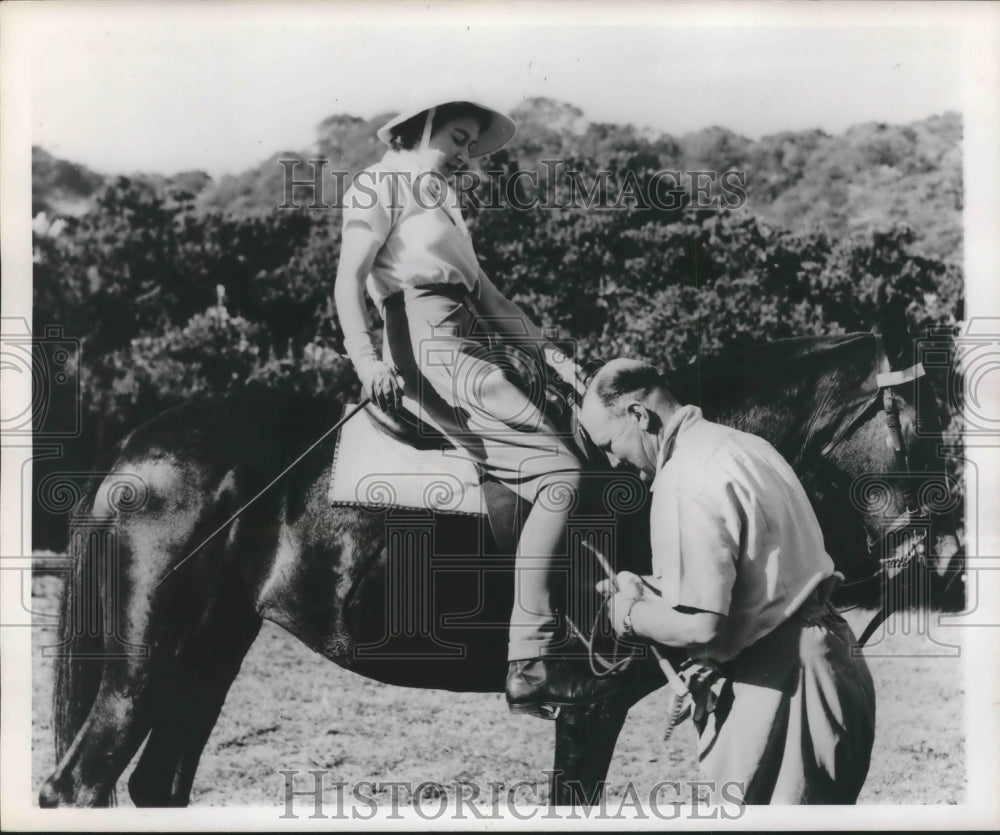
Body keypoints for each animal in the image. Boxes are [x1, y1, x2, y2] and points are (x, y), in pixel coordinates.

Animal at [39, 310, 960, 808]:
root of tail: (138, 448)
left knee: (157, 784)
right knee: (81, 782)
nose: (947, 557)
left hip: (207, 654)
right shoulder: (590, 707)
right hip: (142, 660)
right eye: (919, 419)